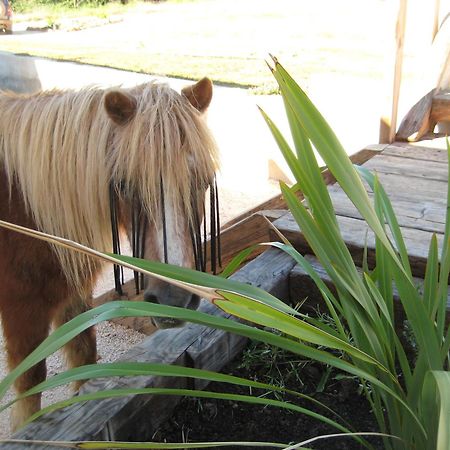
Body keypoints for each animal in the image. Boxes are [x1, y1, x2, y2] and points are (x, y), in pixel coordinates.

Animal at [0, 76, 220, 428]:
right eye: (124, 186)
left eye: (202, 181)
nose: (173, 299)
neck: (26, 211)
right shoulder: (22, 312)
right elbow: (29, 389)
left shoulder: (72, 296)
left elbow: (84, 356)